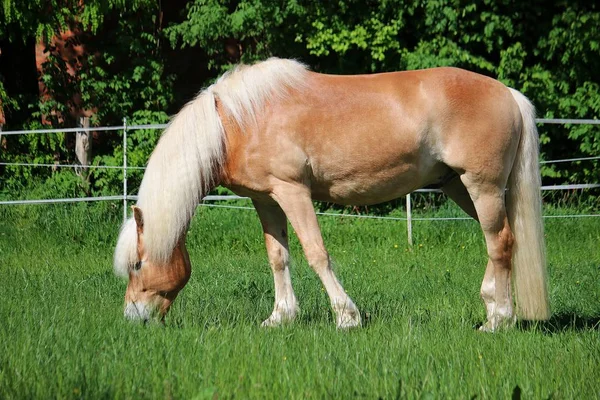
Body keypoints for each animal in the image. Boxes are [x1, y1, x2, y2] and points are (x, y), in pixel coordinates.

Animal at [112, 57, 548, 332]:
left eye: (137, 265)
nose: (133, 319)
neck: (236, 121)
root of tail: (508, 93)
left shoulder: (292, 191)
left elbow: (316, 253)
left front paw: (346, 317)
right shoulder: (265, 198)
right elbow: (278, 257)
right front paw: (280, 318)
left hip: (482, 186)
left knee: (500, 242)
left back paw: (498, 320)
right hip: (461, 187)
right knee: (502, 241)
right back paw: (492, 309)